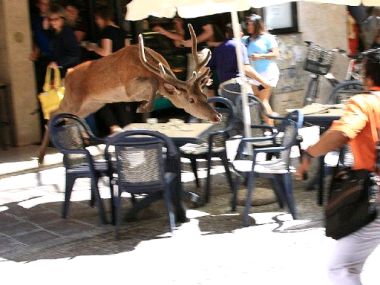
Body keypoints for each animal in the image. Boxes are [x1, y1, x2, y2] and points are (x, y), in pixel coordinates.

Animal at [37, 24, 221, 163]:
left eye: (204, 96)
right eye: (191, 100)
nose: (216, 116)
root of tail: (67, 75)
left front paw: (144, 105)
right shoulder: (128, 88)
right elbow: (153, 83)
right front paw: (143, 107)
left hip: (92, 104)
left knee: (69, 119)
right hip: (73, 98)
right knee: (53, 113)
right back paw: (41, 157)